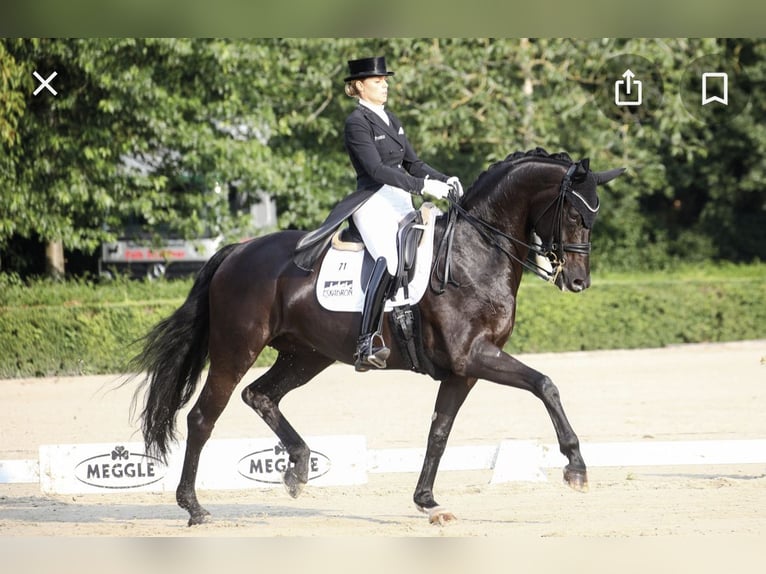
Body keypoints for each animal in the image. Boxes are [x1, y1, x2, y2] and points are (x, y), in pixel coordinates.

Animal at [130, 148, 624, 528]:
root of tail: (237, 251)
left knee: (261, 396)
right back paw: (195, 508)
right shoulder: (474, 356)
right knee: (203, 418)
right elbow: (545, 384)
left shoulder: (462, 370)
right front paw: (576, 467)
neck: (474, 252)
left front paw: (427, 501)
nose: (578, 282)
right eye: (575, 214)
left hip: (306, 356)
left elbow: (439, 431)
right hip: (236, 350)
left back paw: (297, 469)